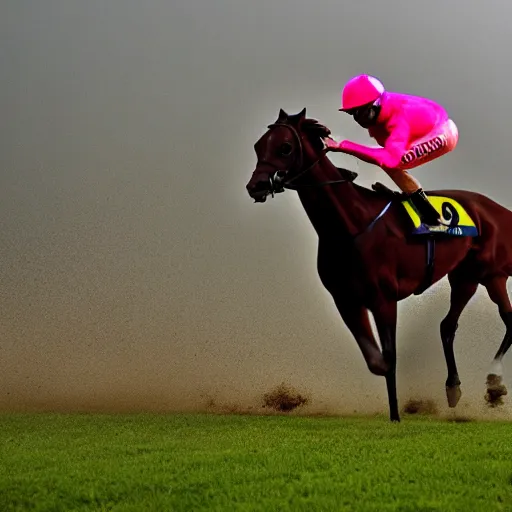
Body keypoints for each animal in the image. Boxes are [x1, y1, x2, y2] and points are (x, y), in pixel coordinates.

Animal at [245, 107, 512, 420]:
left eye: (285, 147)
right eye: (258, 146)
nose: (255, 186)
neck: (349, 226)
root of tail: (499, 210)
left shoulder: (384, 298)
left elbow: (390, 358)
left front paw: (396, 416)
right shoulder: (347, 300)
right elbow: (377, 362)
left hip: (485, 274)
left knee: (500, 318)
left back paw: (494, 382)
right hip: (469, 276)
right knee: (453, 325)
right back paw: (455, 387)